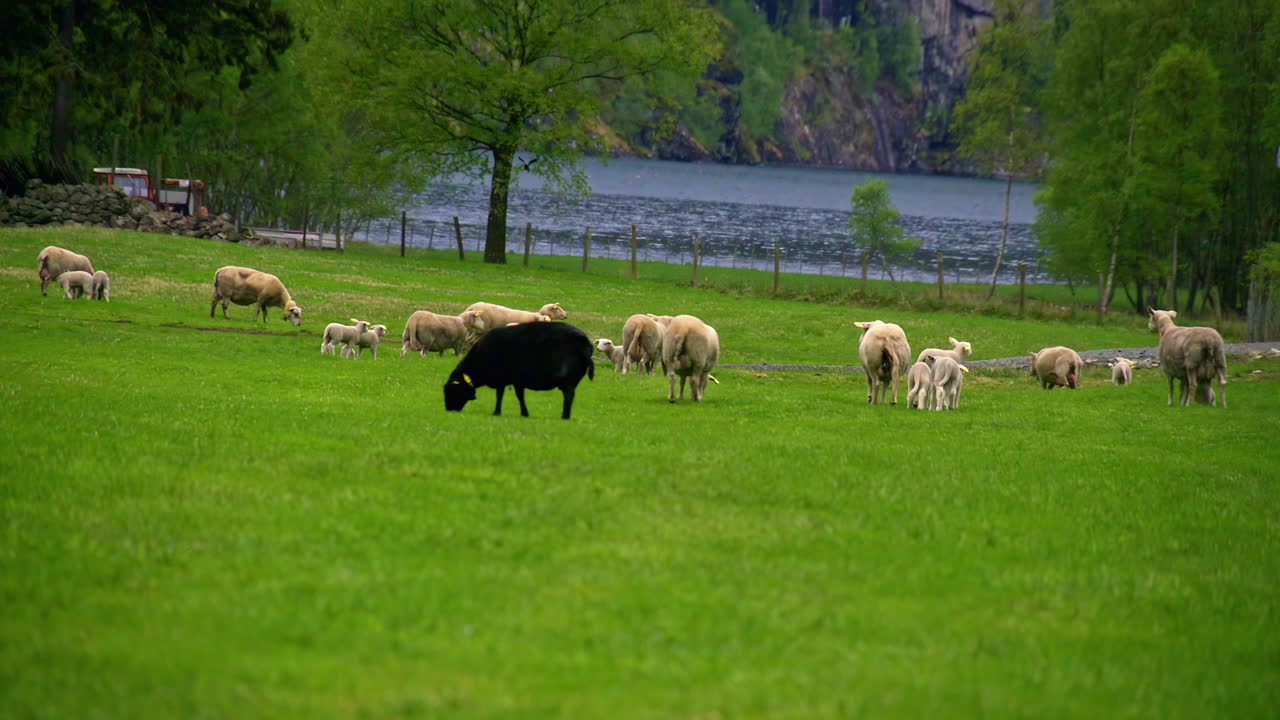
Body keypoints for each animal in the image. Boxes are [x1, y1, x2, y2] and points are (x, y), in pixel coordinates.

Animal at [443, 321, 594, 420]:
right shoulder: (517, 380)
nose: (449, 410)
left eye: (452, 391)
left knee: (568, 396)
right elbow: (519, 396)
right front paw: (524, 413)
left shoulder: (503, 378)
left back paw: (565, 416)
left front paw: (497, 412)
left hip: (567, 378)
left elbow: (501, 395)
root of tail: (585, 345)